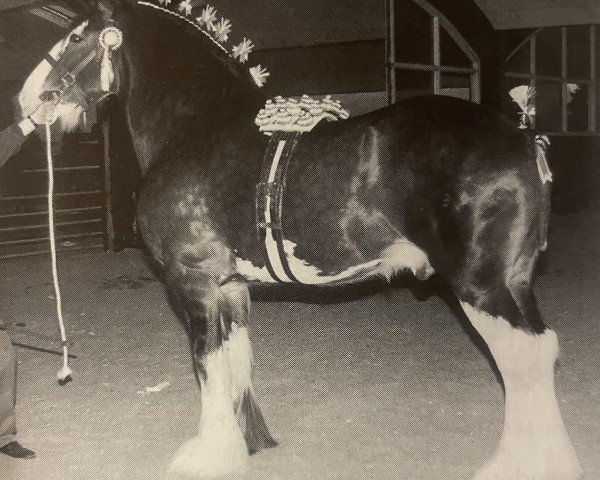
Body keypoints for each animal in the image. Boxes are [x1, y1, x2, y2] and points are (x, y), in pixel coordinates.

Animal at [17, 0, 580, 480]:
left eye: (76, 35)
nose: (25, 98)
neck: (197, 125)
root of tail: (523, 137)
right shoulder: (230, 287)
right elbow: (234, 360)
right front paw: (249, 443)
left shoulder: (194, 284)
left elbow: (206, 365)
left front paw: (208, 455)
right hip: (514, 282)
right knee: (538, 351)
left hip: (481, 285)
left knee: (522, 358)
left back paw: (517, 464)